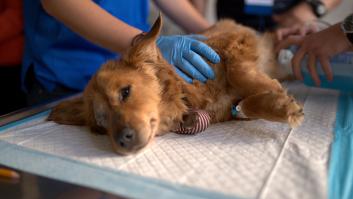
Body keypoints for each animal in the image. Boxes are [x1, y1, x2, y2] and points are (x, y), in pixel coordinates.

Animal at [47, 15, 302, 155]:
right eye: (102, 123)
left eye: (125, 92)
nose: (122, 141)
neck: (184, 92)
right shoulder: (229, 109)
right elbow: (246, 105)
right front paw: (281, 104)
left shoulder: (235, 40)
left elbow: (240, 73)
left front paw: (273, 91)